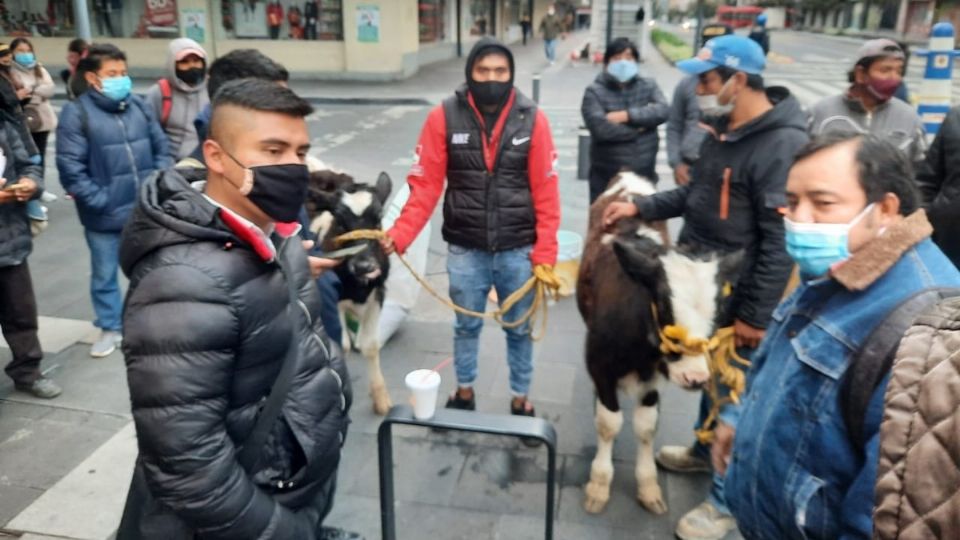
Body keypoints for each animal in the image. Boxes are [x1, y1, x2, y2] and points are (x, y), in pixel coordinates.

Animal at [310, 171, 396, 416]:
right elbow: (343, 345)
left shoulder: (377, 293)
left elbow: (370, 345)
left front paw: (381, 398)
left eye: (378, 218)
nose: (364, 266)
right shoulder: (334, 300)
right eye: (340, 221)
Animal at [576, 173, 744, 516]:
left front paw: (649, 487)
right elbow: (608, 423)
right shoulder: (599, 365)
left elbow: (646, 426)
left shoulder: (656, 375)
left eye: (721, 308)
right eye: (664, 304)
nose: (696, 377)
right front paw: (599, 485)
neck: (640, 351)